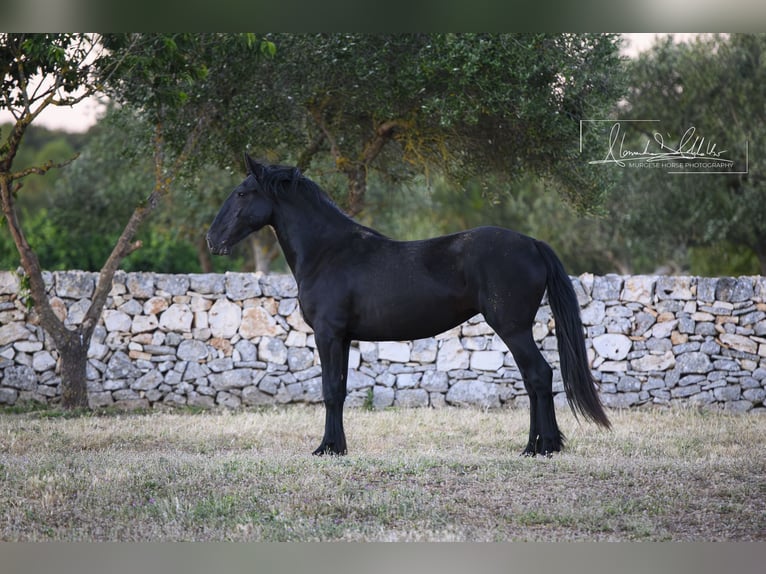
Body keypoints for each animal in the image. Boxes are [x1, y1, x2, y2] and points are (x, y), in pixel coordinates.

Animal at [207, 154, 611, 457]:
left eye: (242, 192)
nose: (212, 239)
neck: (329, 252)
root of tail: (532, 243)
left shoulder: (327, 334)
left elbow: (330, 390)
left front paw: (326, 449)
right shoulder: (343, 338)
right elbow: (341, 390)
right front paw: (339, 447)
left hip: (512, 328)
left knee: (539, 376)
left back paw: (539, 448)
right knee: (534, 380)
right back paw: (540, 445)